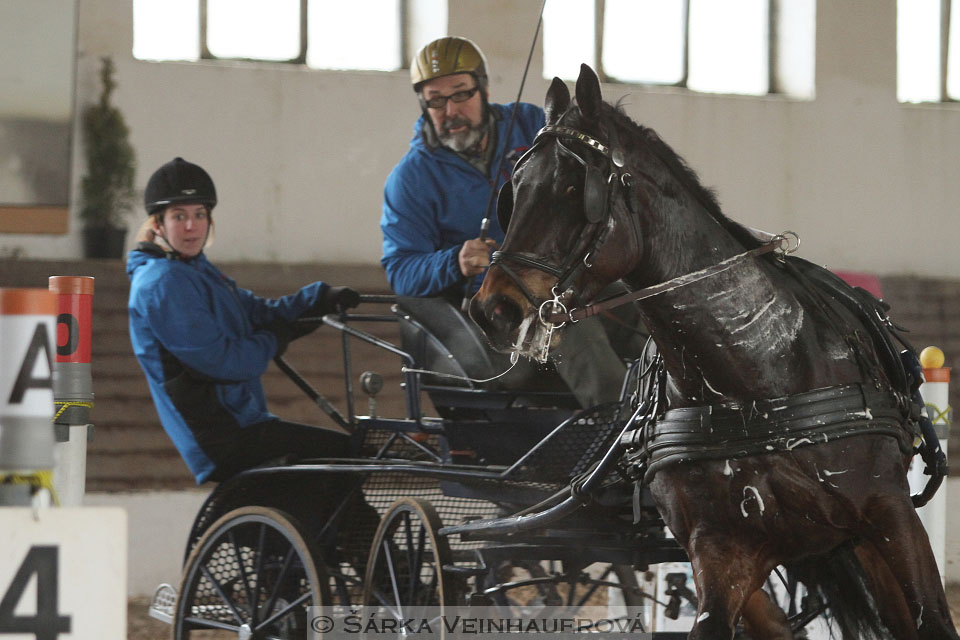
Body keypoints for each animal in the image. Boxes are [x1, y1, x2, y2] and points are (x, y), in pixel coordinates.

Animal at [468, 65, 956, 640]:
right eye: (515, 189)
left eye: (573, 188)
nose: (493, 309)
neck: (755, 383)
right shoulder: (720, 549)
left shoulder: (892, 516)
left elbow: (933, 619)